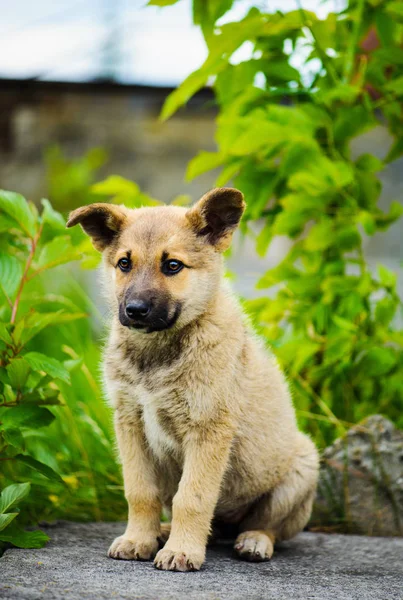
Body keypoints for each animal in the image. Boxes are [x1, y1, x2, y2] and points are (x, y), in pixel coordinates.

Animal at [68, 188, 320, 572]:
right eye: (124, 264)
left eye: (173, 265)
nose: (135, 310)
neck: (158, 352)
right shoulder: (130, 423)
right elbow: (140, 492)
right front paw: (138, 539)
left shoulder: (208, 429)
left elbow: (193, 497)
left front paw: (182, 551)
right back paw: (164, 531)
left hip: (302, 468)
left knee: (267, 525)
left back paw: (253, 541)